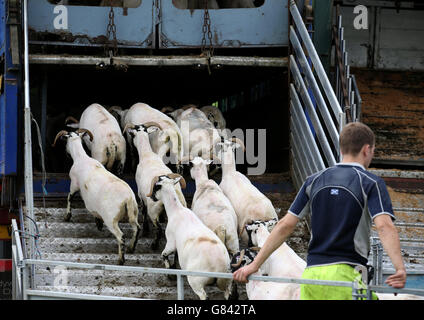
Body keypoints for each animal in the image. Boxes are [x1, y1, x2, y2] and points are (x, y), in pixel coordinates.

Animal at [52, 128, 140, 264]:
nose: (66, 153)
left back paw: (121, 259)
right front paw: (98, 223)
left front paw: (67, 216)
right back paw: (131, 247)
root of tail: (128, 198)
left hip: (111, 219)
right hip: (134, 213)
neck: (81, 157)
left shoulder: (74, 184)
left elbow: (69, 198)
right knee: (137, 229)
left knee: (121, 236)